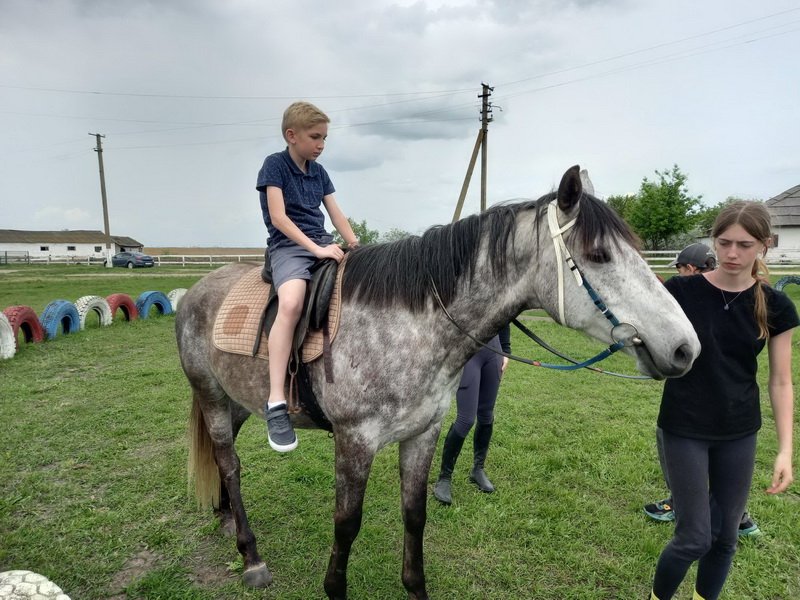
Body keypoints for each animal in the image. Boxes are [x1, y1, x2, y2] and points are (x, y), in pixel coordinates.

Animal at [177, 165, 700, 600]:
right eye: (598, 255)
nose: (685, 348)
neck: (410, 326)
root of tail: (194, 292)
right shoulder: (354, 441)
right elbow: (347, 524)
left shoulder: (422, 434)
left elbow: (415, 514)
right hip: (212, 397)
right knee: (230, 465)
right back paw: (251, 556)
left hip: (238, 400)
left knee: (227, 460)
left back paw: (226, 518)